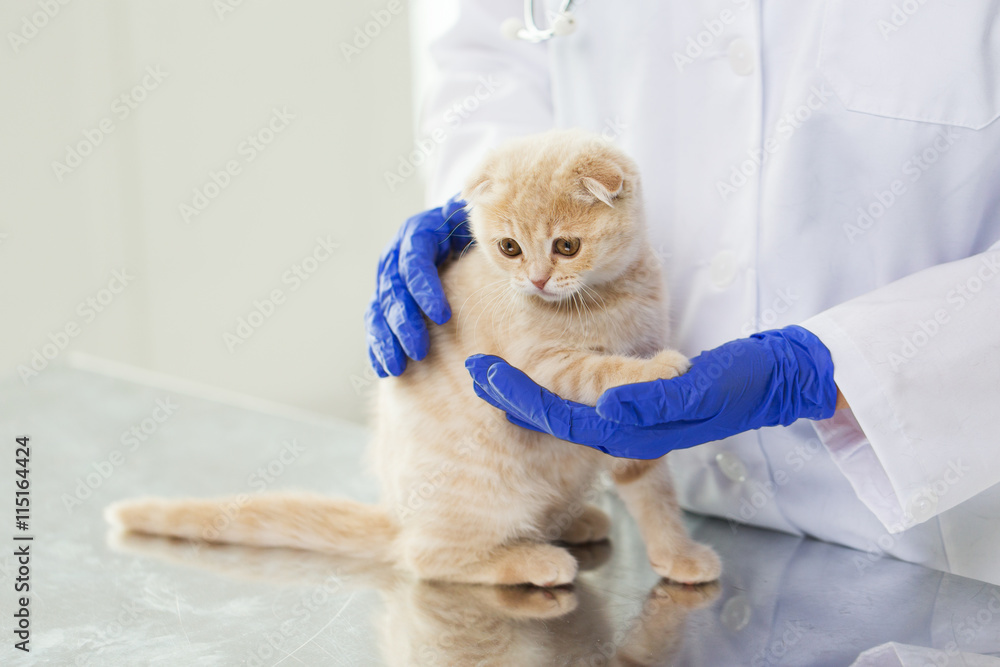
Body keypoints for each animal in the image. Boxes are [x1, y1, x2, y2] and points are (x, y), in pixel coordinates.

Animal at [107, 128, 720, 588]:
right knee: (428, 558)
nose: (537, 280)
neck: (605, 299)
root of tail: (400, 518)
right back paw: (531, 559)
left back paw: (571, 522)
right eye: (509, 249)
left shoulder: (633, 432)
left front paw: (677, 553)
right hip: (476, 497)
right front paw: (659, 371)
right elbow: (598, 367)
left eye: (566, 246)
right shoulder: (538, 367)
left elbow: (653, 489)